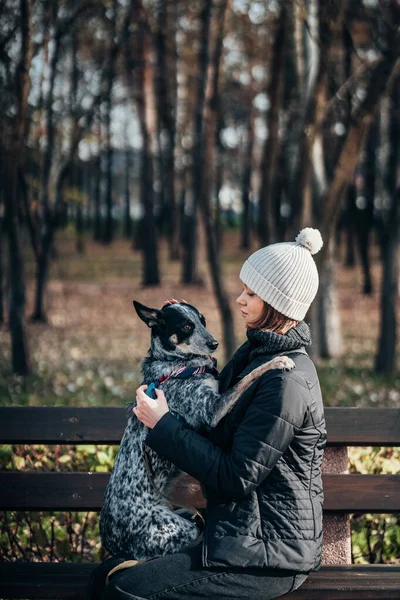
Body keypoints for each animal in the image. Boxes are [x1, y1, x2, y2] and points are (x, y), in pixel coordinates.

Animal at [100, 302, 294, 560]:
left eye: (202, 320)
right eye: (186, 326)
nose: (214, 344)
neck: (175, 365)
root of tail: (111, 544)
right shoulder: (212, 409)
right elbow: (246, 379)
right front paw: (278, 361)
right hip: (176, 529)